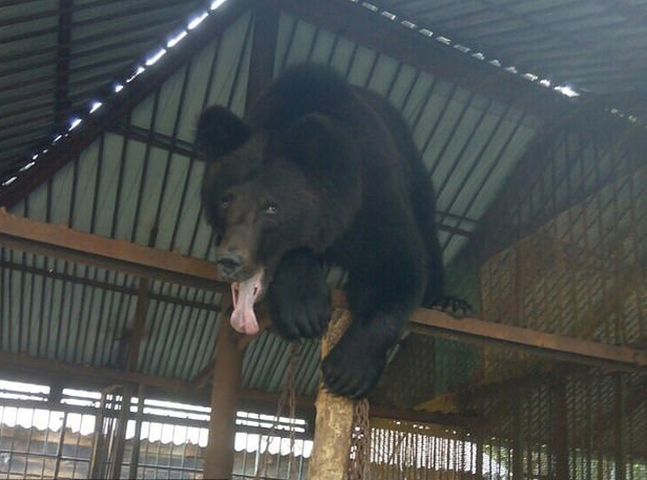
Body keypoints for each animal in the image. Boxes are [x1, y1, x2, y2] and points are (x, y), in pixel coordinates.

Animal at [197, 65, 448, 400]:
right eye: (225, 199)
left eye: (271, 207)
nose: (230, 261)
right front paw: (304, 311)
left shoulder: (374, 188)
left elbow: (398, 263)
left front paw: (348, 371)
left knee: (426, 220)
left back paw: (446, 301)